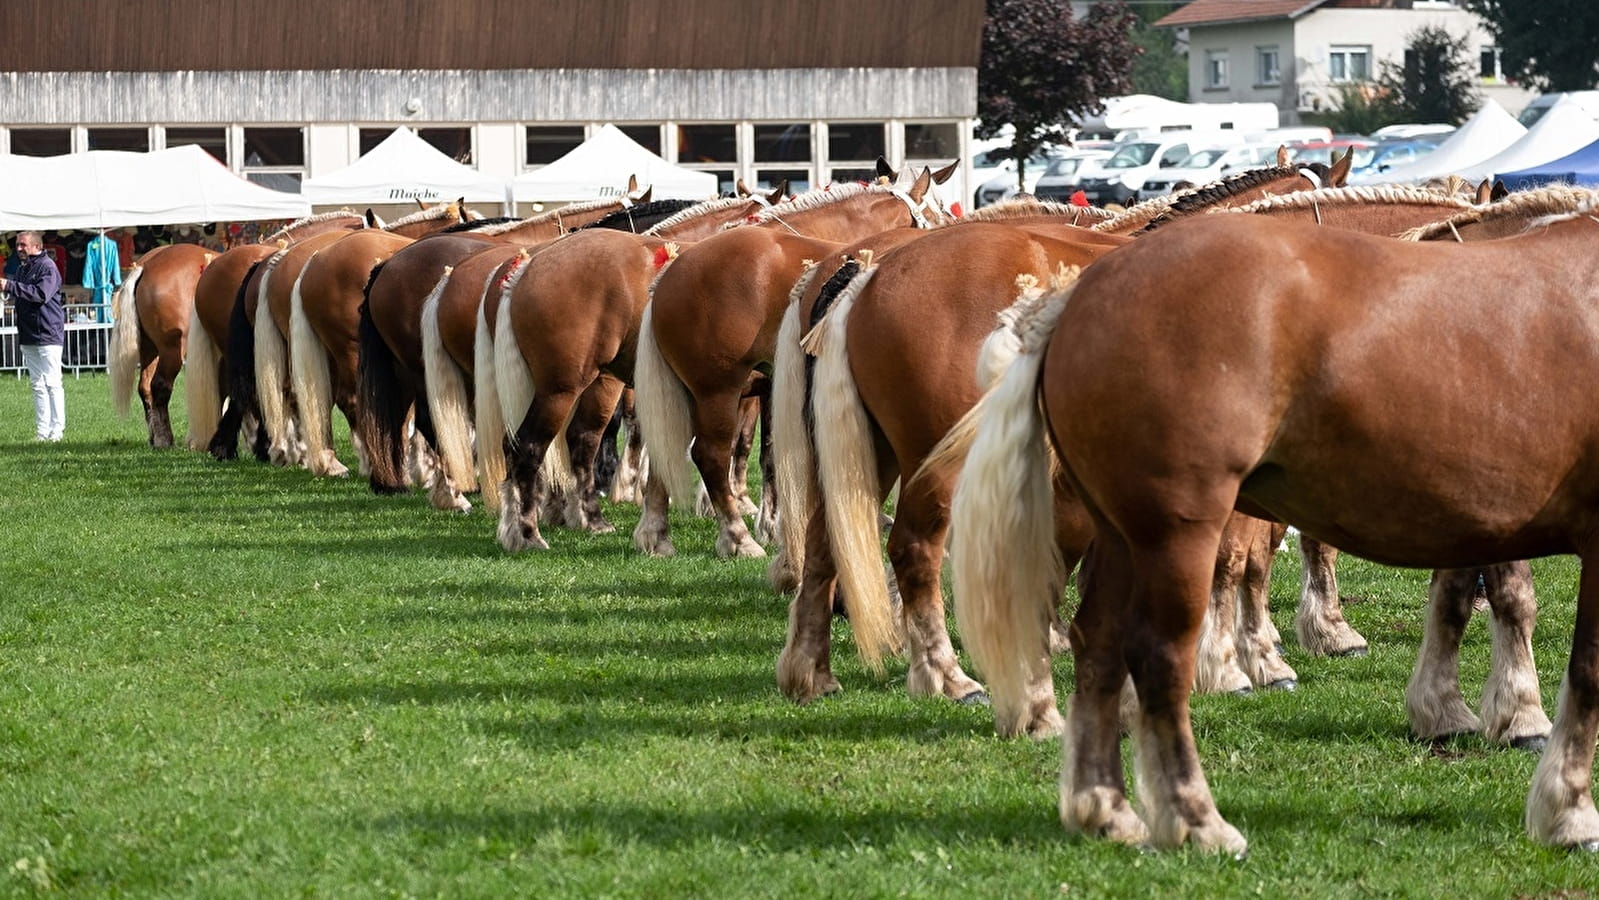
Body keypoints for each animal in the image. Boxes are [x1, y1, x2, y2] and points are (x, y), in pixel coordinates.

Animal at [110, 242, 219, 447]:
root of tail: (145, 267)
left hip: (150, 349)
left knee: (145, 388)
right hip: (172, 350)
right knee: (159, 385)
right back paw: (164, 439)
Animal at [630, 167, 953, 562]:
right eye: (938, 210)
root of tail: (669, 274)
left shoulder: (775, 388)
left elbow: (773, 455)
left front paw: (775, 524)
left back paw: (656, 533)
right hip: (716, 391)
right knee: (709, 456)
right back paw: (737, 536)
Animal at [940, 200, 1599, 856]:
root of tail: (1080, 295)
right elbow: (1584, 669)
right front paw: (1569, 810)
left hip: (1124, 537)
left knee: (1098, 646)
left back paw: (1105, 810)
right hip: (1175, 536)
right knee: (1157, 658)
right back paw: (1195, 819)